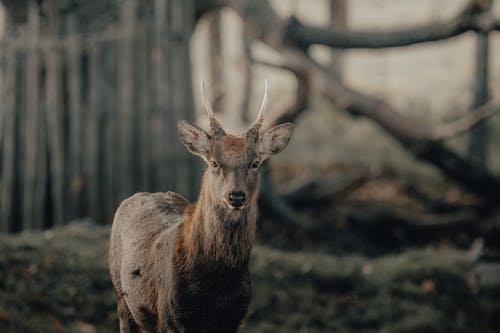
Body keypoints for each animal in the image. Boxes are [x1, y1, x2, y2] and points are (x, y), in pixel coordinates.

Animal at [106, 81, 292, 332]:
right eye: (214, 163)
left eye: (255, 163)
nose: (236, 196)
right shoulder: (171, 315)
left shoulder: (235, 317)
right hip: (121, 297)